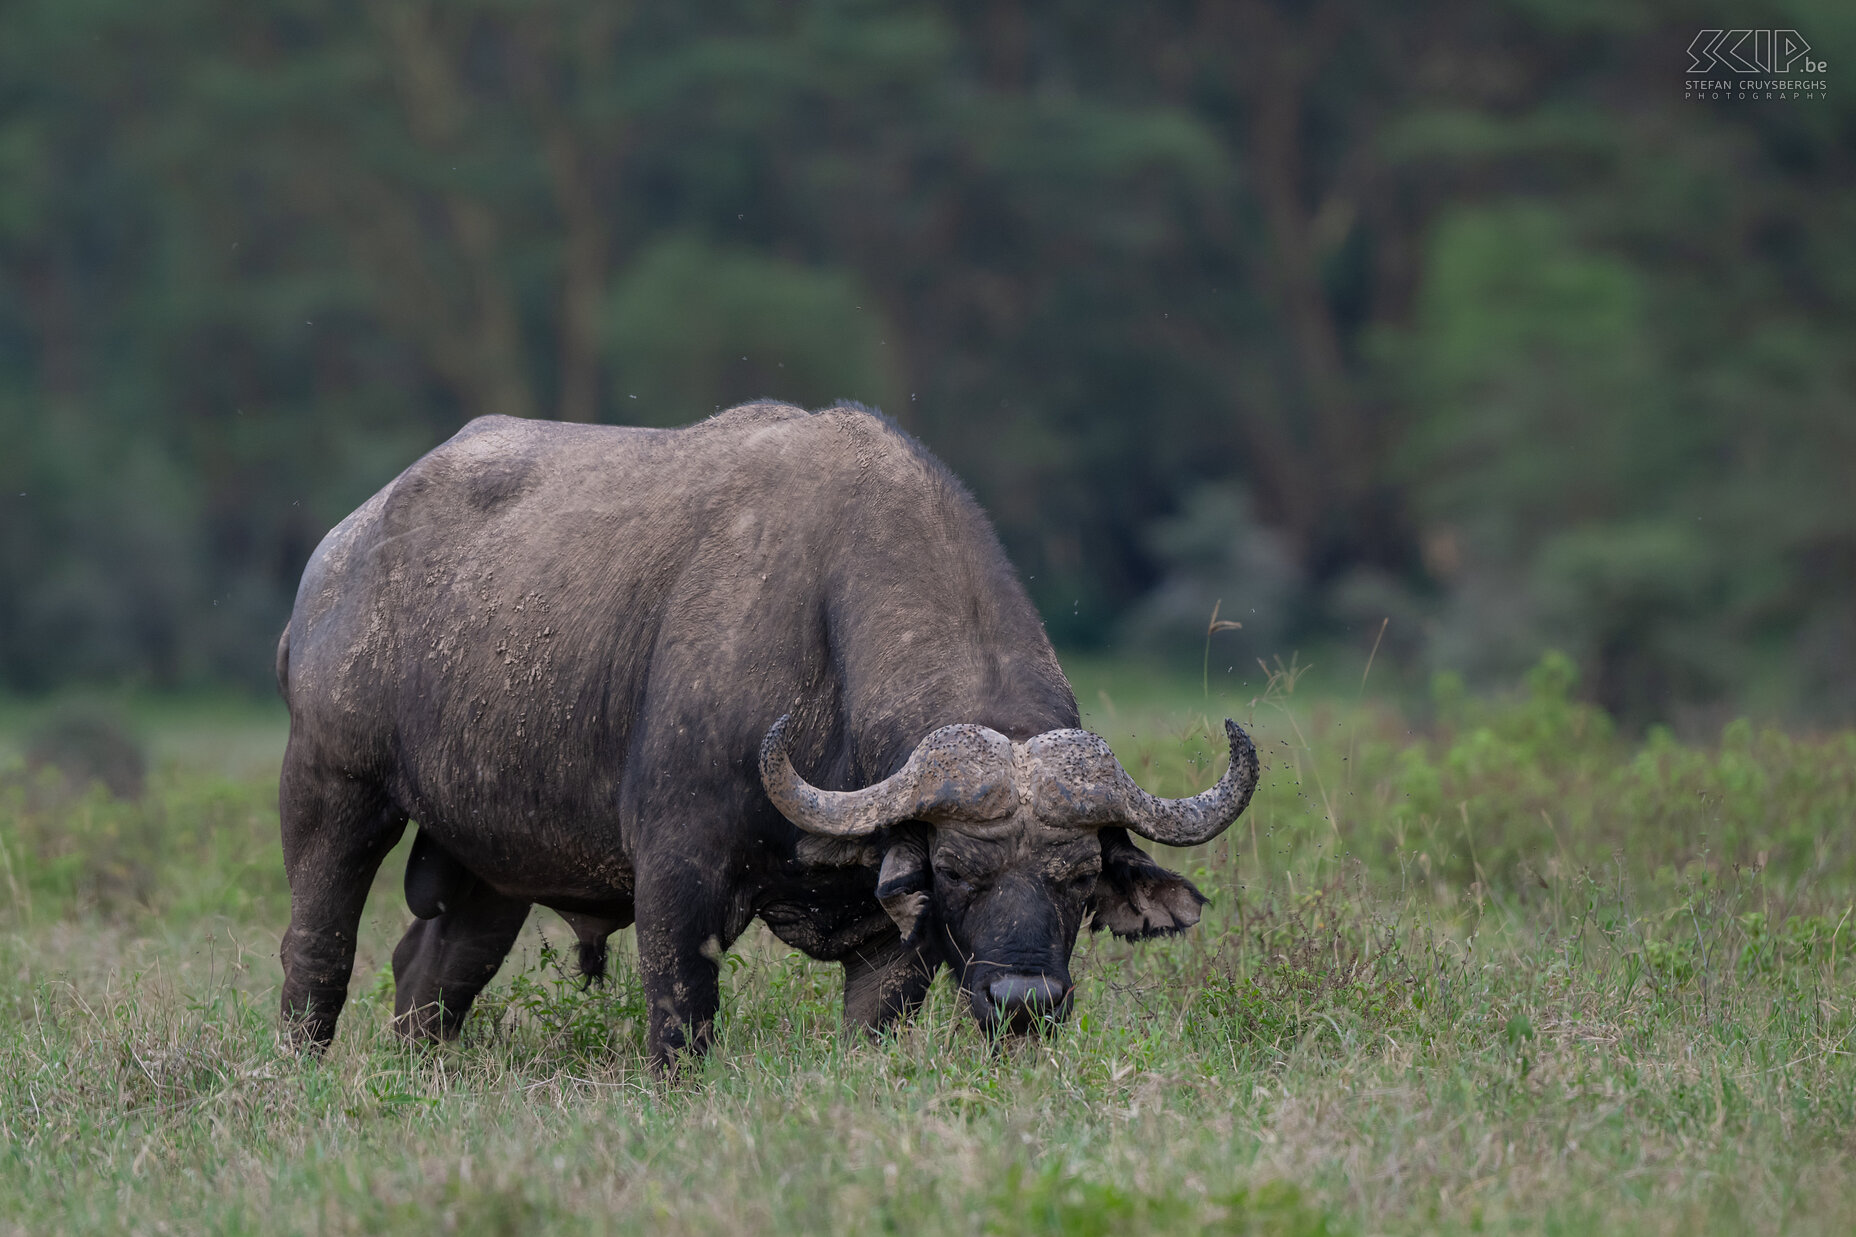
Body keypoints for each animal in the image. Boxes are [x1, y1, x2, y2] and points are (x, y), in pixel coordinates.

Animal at [274, 399, 1262, 1062]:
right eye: (957, 871)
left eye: (1080, 875)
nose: (1026, 998)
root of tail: (339, 556)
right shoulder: (675, 876)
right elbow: (681, 1020)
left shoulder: (887, 944)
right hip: (330, 787)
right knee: (317, 947)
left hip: (491, 862)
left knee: (432, 971)